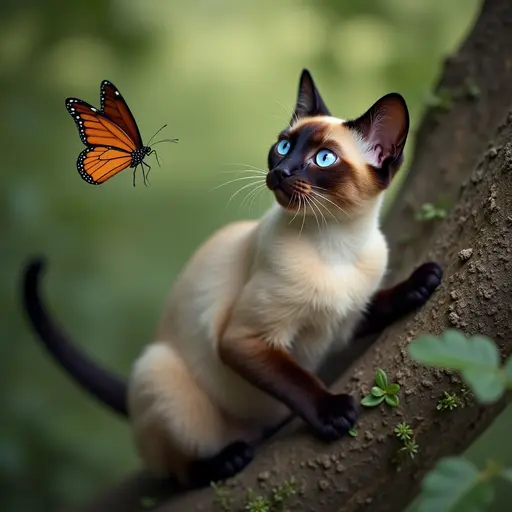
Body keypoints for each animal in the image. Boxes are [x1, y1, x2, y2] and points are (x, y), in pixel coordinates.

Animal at [22, 69, 442, 488]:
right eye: (284, 147)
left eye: (323, 159)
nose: (280, 172)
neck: (337, 243)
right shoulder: (244, 340)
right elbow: (297, 380)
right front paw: (332, 412)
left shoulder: (345, 320)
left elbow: (379, 302)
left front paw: (422, 281)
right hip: (160, 373)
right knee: (176, 472)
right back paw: (227, 460)